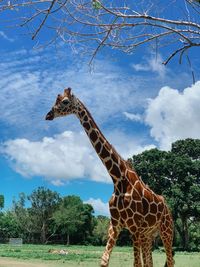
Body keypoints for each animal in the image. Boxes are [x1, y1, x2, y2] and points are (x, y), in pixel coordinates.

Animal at [45, 88, 173, 267]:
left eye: (64, 101)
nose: (48, 115)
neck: (118, 178)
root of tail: (168, 208)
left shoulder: (134, 227)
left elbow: (136, 263)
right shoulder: (115, 225)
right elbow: (104, 260)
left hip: (166, 231)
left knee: (170, 259)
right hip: (148, 235)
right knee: (150, 262)